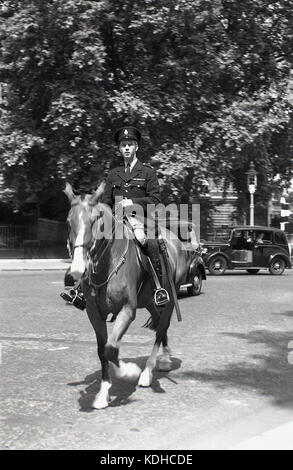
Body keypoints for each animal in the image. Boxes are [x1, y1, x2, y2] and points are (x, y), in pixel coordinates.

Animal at [64, 182, 194, 410]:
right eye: (69, 221)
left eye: (95, 220)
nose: (78, 269)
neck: (108, 265)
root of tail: (176, 242)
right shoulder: (94, 313)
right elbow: (103, 349)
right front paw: (103, 393)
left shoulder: (127, 310)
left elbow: (111, 348)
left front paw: (129, 371)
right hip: (149, 301)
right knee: (160, 324)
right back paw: (164, 359)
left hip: (169, 298)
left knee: (162, 327)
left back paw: (148, 371)